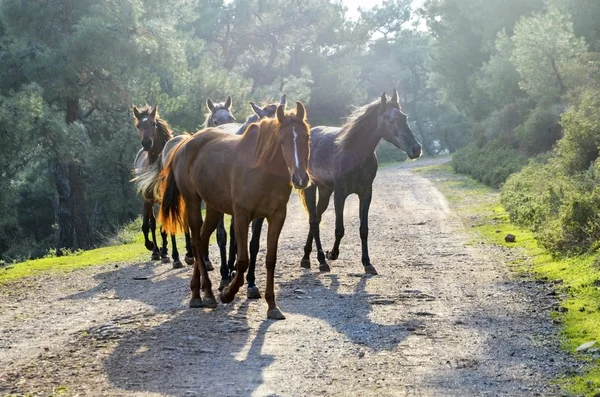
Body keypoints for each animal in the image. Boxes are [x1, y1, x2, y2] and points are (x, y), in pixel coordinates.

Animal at [132, 103, 193, 268]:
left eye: (153, 123)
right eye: (138, 126)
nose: (147, 143)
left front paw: (180, 255)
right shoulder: (148, 200)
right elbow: (147, 225)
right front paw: (153, 247)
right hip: (151, 201)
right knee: (153, 224)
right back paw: (157, 252)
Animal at [157, 101, 312, 318]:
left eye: (306, 137)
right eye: (282, 140)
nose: (300, 178)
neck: (263, 169)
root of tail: (186, 143)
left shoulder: (277, 216)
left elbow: (270, 259)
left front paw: (272, 305)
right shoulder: (241, 216)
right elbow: (243, 260)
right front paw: (228, 293)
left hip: (213, 208)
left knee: (202, 240)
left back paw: (198, 293)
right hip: (193, 202)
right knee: (196, 243)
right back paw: (208, 294)